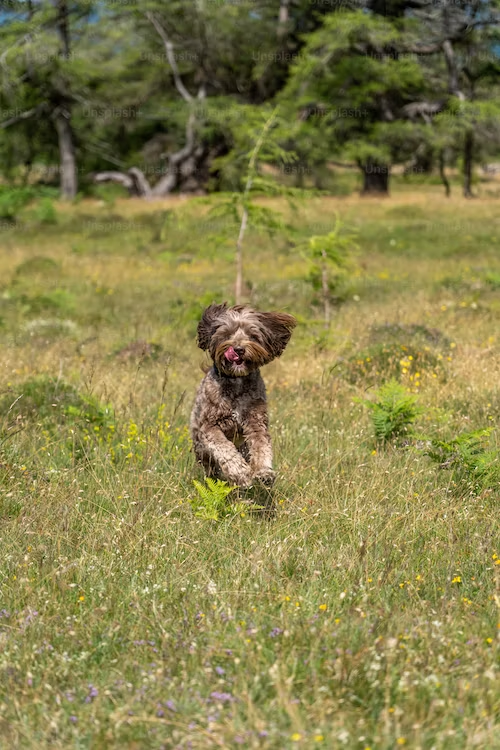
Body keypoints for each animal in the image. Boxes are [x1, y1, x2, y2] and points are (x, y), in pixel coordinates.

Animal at [189, 302, 294, 490]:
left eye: (253, 336)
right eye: (227, 334)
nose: (238, 349)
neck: (236, 382)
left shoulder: (256, 422)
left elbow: (262, 447)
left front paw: (264, 472)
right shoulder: (209, 426)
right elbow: (223, 447)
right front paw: (240, 473)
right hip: (200, 445)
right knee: (210, 465)